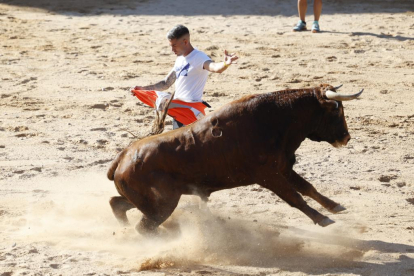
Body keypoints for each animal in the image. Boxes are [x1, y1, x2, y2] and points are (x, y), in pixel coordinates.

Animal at [106, 83, 362, 234]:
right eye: (336, 109)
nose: (346, 137)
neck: (275, 118)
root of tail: (123, 157)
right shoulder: (268, 176)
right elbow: (295, 197)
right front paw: (323, 219)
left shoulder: (283, 167)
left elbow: (308, 187)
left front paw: (335, 207)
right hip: (163, 204)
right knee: (144, 227)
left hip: (149, 201)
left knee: (117, 204)